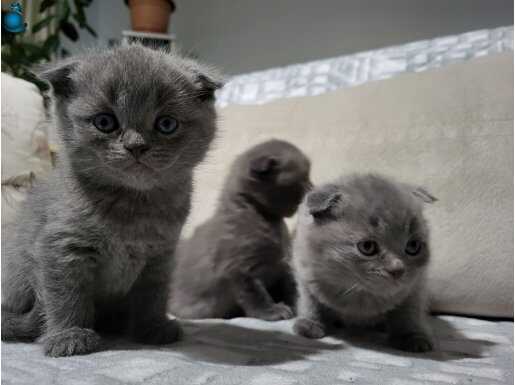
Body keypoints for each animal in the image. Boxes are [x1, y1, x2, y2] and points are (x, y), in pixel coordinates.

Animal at [2, 45, 224, 356]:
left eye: (167, 124)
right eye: (105, 122)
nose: (136, 146)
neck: (133, 208)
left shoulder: (160, 256)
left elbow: (154, 295)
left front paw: (153, 327)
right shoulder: (60, 246)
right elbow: (66, 295)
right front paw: (68, 336)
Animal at [171, 140, 312, 320]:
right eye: (304, 178)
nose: (313, 188)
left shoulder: (280, 266)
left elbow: (286, 287)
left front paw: (294, 306)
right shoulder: (240, 269)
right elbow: (256, 294)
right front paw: (271, 311)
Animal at [292, 174, 438, 352]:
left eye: (413, 246)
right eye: (367, 247)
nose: (398, 269)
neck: (361, 295)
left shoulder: (415, 287)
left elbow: (409, 312)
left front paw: (412, 336)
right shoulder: (306, 276)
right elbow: (311, 302)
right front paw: (309, 324)